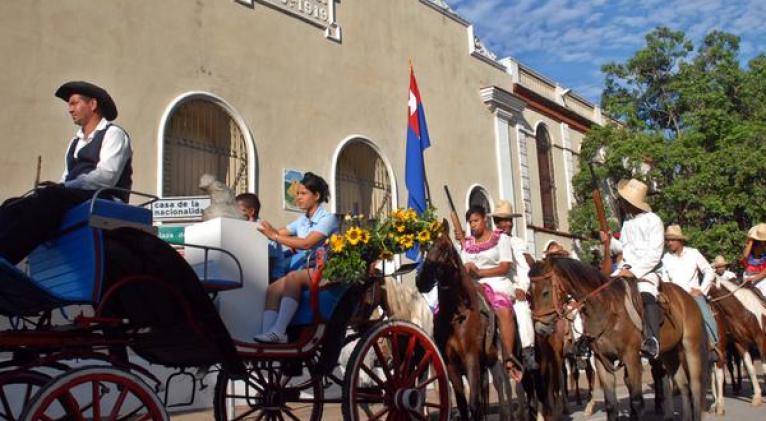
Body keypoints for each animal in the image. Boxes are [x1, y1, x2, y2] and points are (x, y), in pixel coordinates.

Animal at [416, 223, 512, 416]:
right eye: (429, 249)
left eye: (444, 249)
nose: (421, 280)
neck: (457, 316)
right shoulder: (452, 365)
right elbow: (462, 404)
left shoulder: (472, 359)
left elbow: (474, 404)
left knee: (507, 386)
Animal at [532, 254, 712, 418]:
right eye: (530, 294)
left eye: (546, 292)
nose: (539, 328)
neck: (607, 309)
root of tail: (687, 296)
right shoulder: (602, 360)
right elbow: (611, 405)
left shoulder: (631, 358)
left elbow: (637, 402)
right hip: (669, 353)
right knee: (684, 387)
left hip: (692, 347)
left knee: (695, 387)